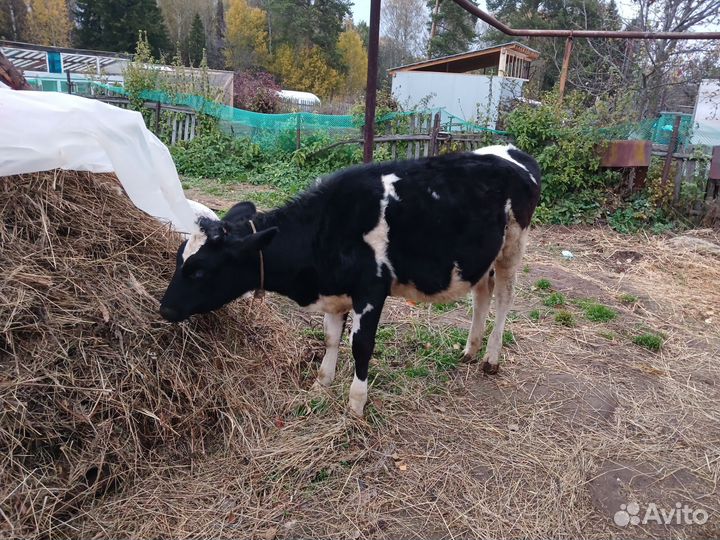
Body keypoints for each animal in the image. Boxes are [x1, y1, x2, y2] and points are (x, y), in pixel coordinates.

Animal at [159, 146, 540, 416]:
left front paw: (356, 404)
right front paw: (320, 385)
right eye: (180, 259)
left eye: (199, 270)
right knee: (482, 294)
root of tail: (512, 152)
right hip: (482, 256)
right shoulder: (333, 290)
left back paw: (491, 358)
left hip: (513, 246)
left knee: (504, 298)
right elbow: (330, 339)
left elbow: (361, 345)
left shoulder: (371, 290)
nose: (164, 309)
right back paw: (470, 349)